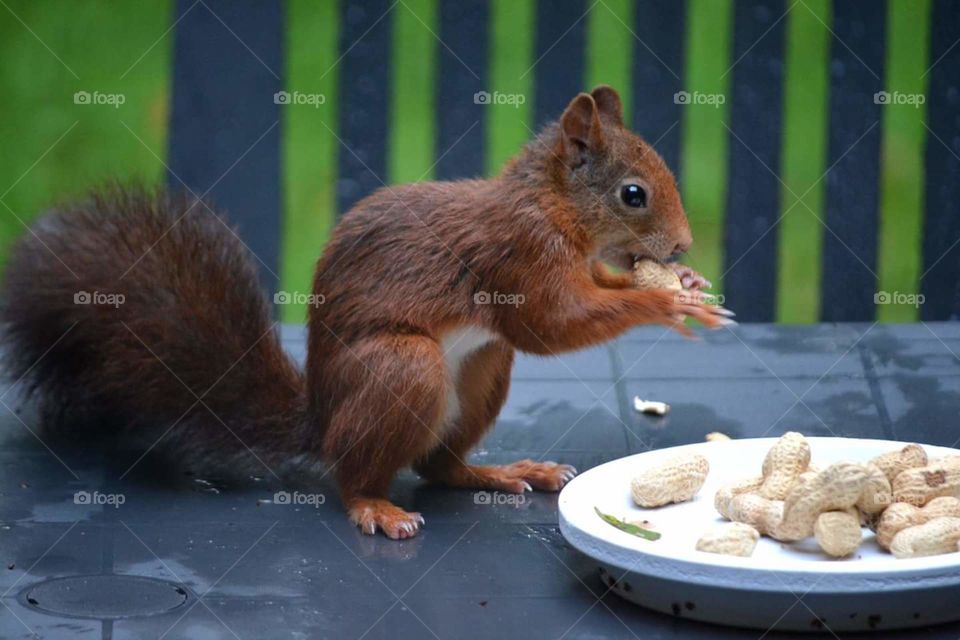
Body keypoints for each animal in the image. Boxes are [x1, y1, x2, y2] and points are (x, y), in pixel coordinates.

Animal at [3, 85, 732, 536]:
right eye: (633, 194)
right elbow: (549, 325)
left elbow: (588, 294)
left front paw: (686, 281)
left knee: (438, 466)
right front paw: (665, 298)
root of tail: (321, 419)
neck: (551, 207)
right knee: (354, 475)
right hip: (401, 368)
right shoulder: (516, 258)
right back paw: (375, 507)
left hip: (483, 369)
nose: (683, 245)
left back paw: (502, 471)